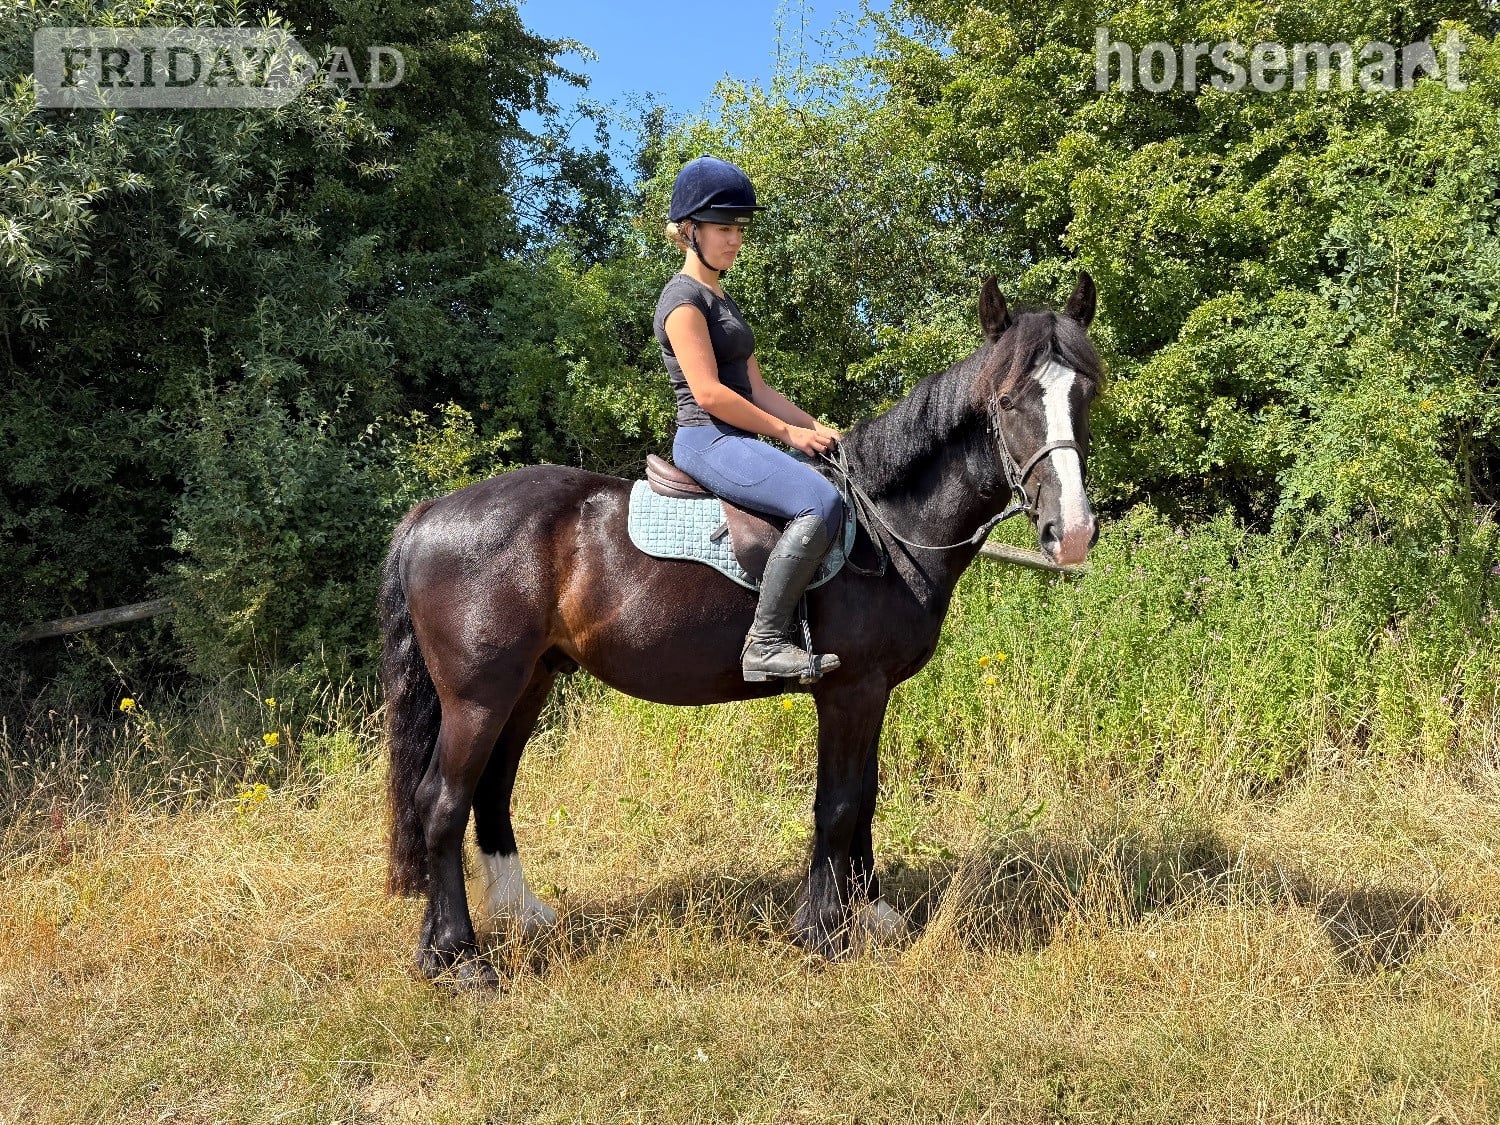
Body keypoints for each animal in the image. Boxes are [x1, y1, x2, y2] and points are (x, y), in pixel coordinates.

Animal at [380, 273, 1102, 988]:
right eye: (1008, 400)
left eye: (1086, 394)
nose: (1071, 533)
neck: (883, 523)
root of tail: (429, 514)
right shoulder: (851, 690)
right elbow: (838, 804)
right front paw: (822, 930)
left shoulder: (875, 691)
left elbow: (866, 794)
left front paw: (871, 913)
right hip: (478, 696)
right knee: (442, 802)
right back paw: (457, 958)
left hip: (528, 683)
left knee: (490, 791)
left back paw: (517, 914)